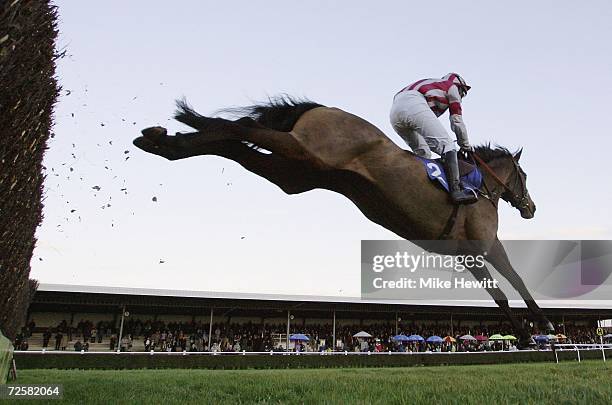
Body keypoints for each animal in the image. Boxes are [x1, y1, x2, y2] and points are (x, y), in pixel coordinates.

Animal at [136, 96, 552, 342]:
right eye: (524, 176)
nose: (530, 207)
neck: (481, 186)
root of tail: (322, 108)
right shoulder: (483, 247)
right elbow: (508, 285)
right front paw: (536, 329)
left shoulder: (473, 254)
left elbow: (505, 287)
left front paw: (533, 328)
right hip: (304, 151)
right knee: (240, 129)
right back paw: (171, 132)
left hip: (295, 173)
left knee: (235, 146)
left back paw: (166, 143)